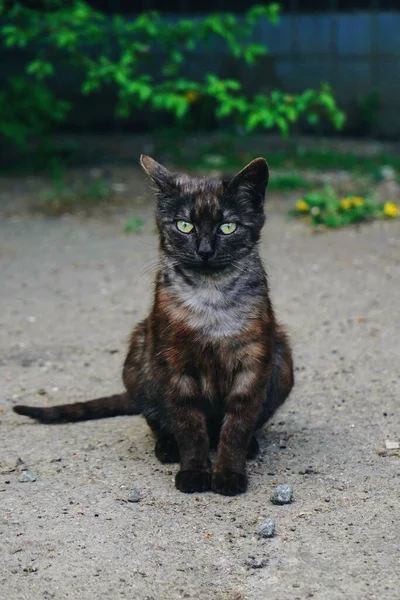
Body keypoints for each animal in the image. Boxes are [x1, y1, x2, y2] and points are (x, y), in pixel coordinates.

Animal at [14, 155, 294, 496]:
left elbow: (237, 426)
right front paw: (194, 472)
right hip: (138, 356)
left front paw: (228, 474)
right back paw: (168, 447)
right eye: (184, 225)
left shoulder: (252, 363)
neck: (210, 299)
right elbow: (189, 425)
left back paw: (250, 446)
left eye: (227, 227)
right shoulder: (174, 366)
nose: (204, 251)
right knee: (157, 420)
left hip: (282, 356)